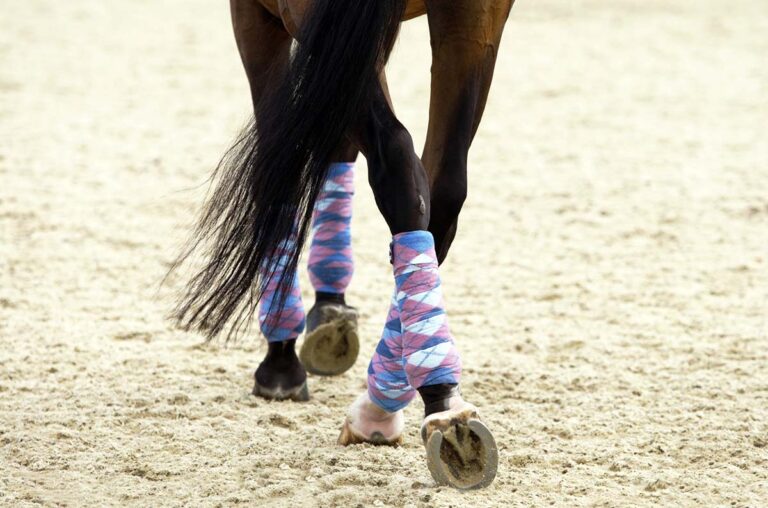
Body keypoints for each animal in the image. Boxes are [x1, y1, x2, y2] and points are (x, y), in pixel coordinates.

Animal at [173, 0, 514, 490]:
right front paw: (329, 307)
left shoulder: (255, 14)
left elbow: (279, 169)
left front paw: (283, 354)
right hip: (473, 21)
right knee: (437, 189)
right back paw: (417, 404)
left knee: (395, 158)